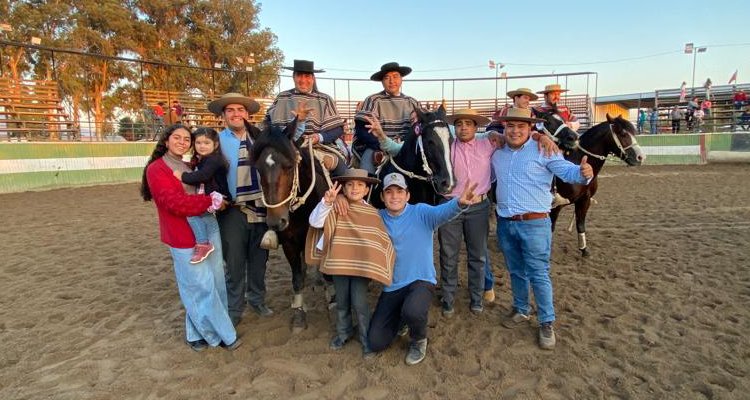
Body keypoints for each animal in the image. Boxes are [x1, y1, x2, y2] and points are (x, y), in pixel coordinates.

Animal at [251, 118, 330, 332]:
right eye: (258, 168)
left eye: (288, 166)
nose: (276, 221)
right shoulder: (290, 244)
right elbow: (297, 278)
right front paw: (299, 315)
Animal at [552, 113, 648, 256]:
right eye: (623, 133)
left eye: (633, 132)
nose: (640, 157)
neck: (576, 164)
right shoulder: (555, 206)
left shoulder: (584, 200)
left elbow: (580, 225)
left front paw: (584, 250)